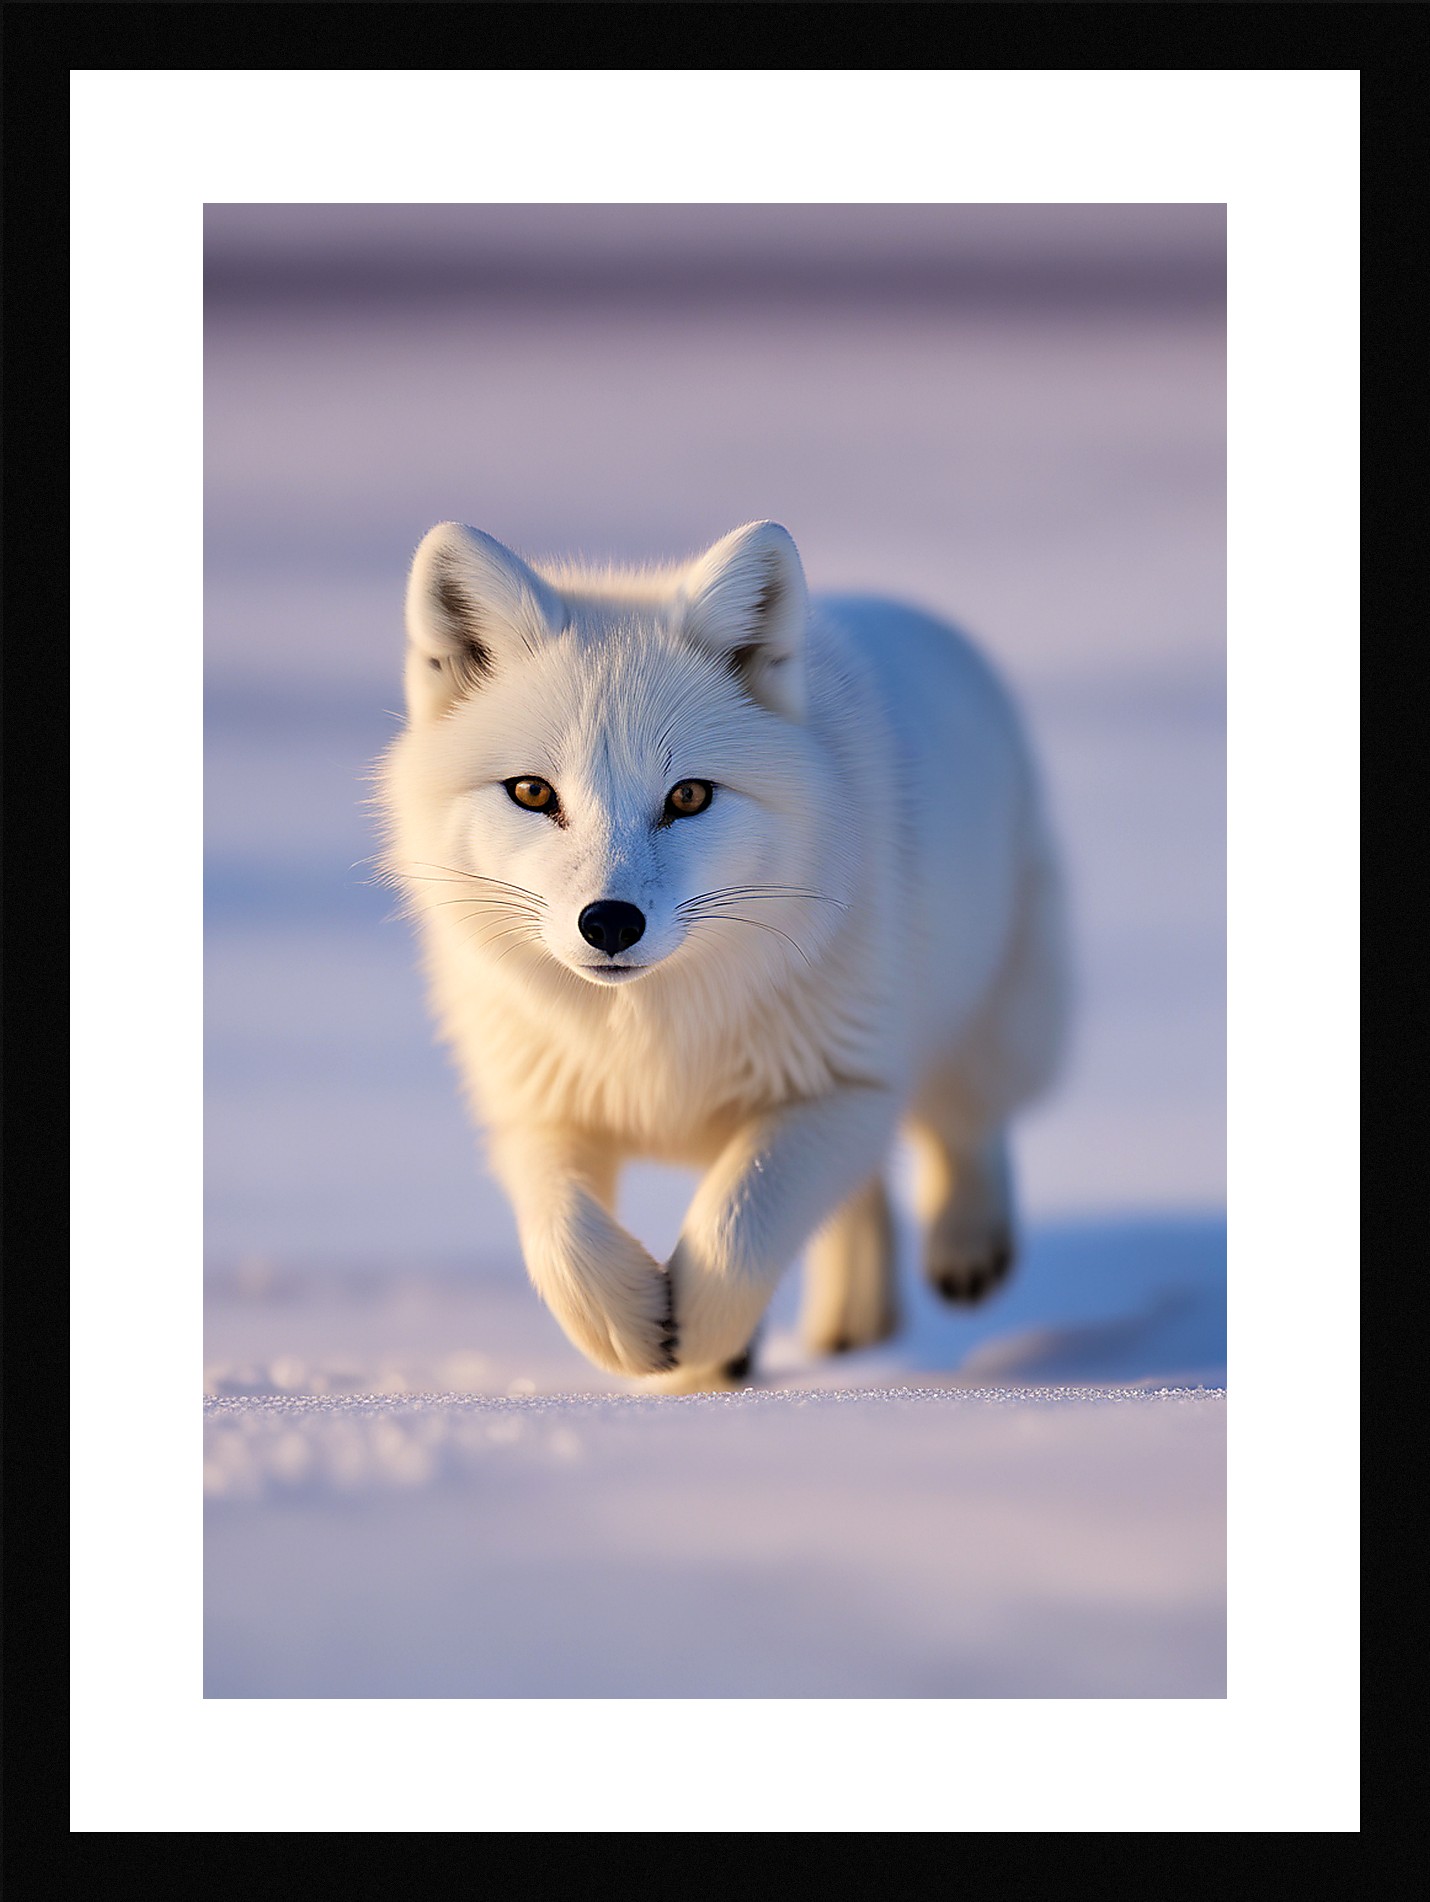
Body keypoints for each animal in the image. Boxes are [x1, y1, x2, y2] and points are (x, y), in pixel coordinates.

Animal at [377, 520, 1069, 1393]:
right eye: (533, 793)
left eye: (689, 797)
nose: (610, 923)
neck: (651, 1037)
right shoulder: (537, 1104)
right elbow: (562, 1236)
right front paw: (643, 1339)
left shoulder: (843, 1084)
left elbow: (739, 1223)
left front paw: (704, 1331)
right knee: (870, 1192)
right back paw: (849, 1322)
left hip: (992, 1004)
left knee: (967, 1120)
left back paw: (966, 1243)